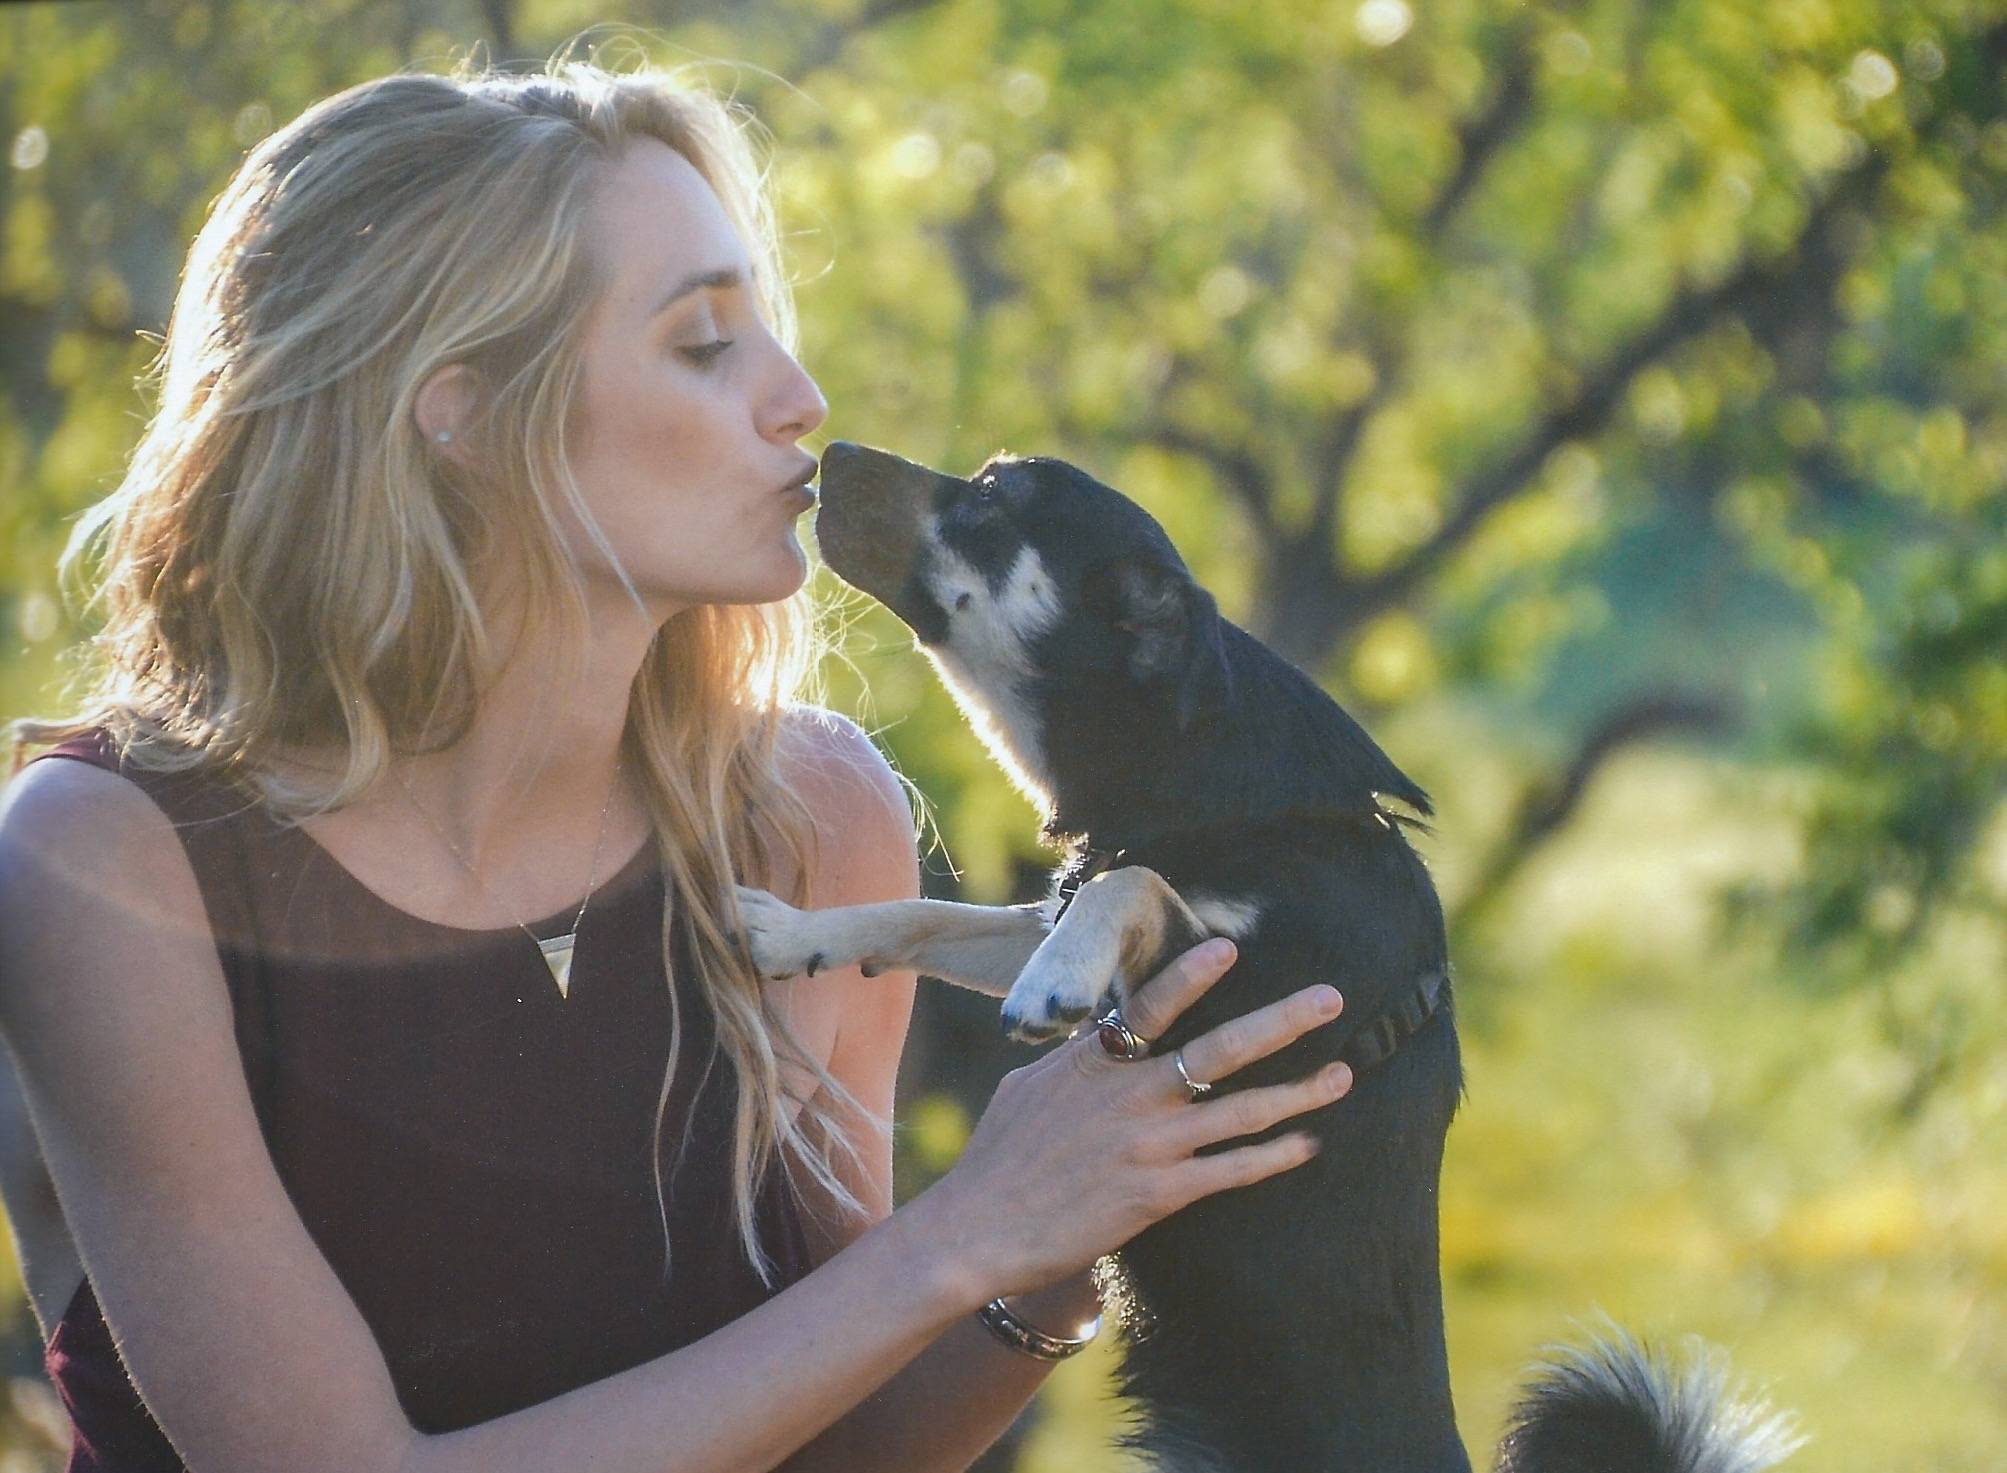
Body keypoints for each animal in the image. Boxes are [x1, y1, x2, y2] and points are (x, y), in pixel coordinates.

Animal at [738, 443, 1806, 1473]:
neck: (1221, 795)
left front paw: (1053, 982)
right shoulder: (1061, 917)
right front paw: (796, 934)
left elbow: (1132, 887)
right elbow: (926, 910)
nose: (831, 446)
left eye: (992, 503)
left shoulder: (1247, 989)